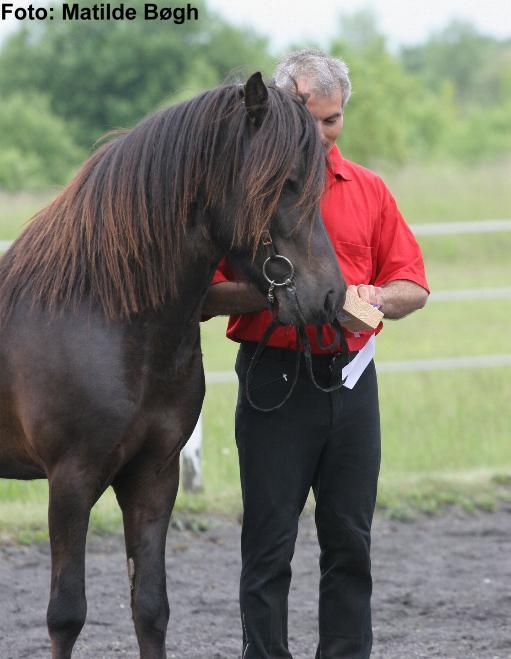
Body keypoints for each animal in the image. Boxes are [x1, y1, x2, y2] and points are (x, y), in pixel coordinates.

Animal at [0, 75, 348, 656]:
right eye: (284, 183)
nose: (330, 296)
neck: (100, 312)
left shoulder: (154, 476)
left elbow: (150, 607)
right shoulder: (70, 480)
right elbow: (66, 614)